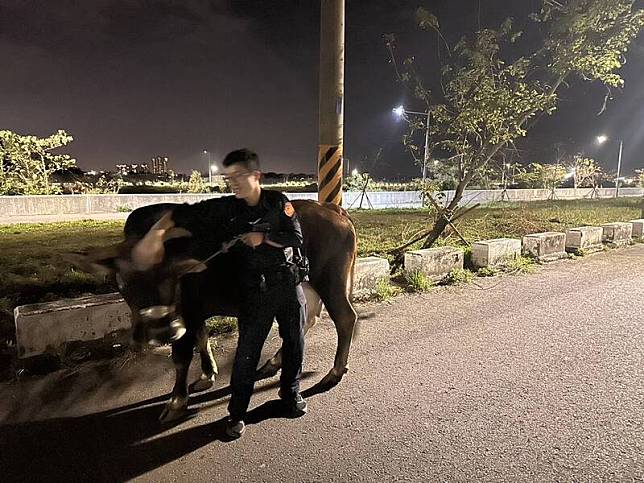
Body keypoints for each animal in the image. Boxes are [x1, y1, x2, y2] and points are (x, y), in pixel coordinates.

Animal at [73, 199, 360, 422]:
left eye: (170, 277)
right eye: (123, 282)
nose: (162, 331)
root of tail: (331, 208)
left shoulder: (186, 313)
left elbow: (181, 357)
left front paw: (177, 402)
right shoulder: (193, 313)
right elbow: (202, 338)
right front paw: (207, 374)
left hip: (330, 281)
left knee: (345, 318)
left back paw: (334, 372)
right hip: (307, 284)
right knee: (308, 318)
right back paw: (274, 361)